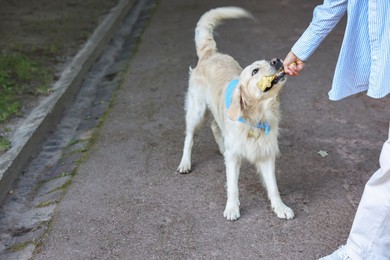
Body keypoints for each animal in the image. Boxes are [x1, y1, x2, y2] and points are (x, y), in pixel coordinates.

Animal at [178, 7, 294, 220]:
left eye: (267, 61)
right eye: (255, 71)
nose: (276, 60)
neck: (257, 116)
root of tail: (211, 53)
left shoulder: (266, 154)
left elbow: (273, 187)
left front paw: (280, 207)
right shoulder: (233, 159)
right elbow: (233, 187)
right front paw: (232, 208)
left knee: (215, 127)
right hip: (196, 111)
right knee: (189, 137)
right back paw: (185, 163)